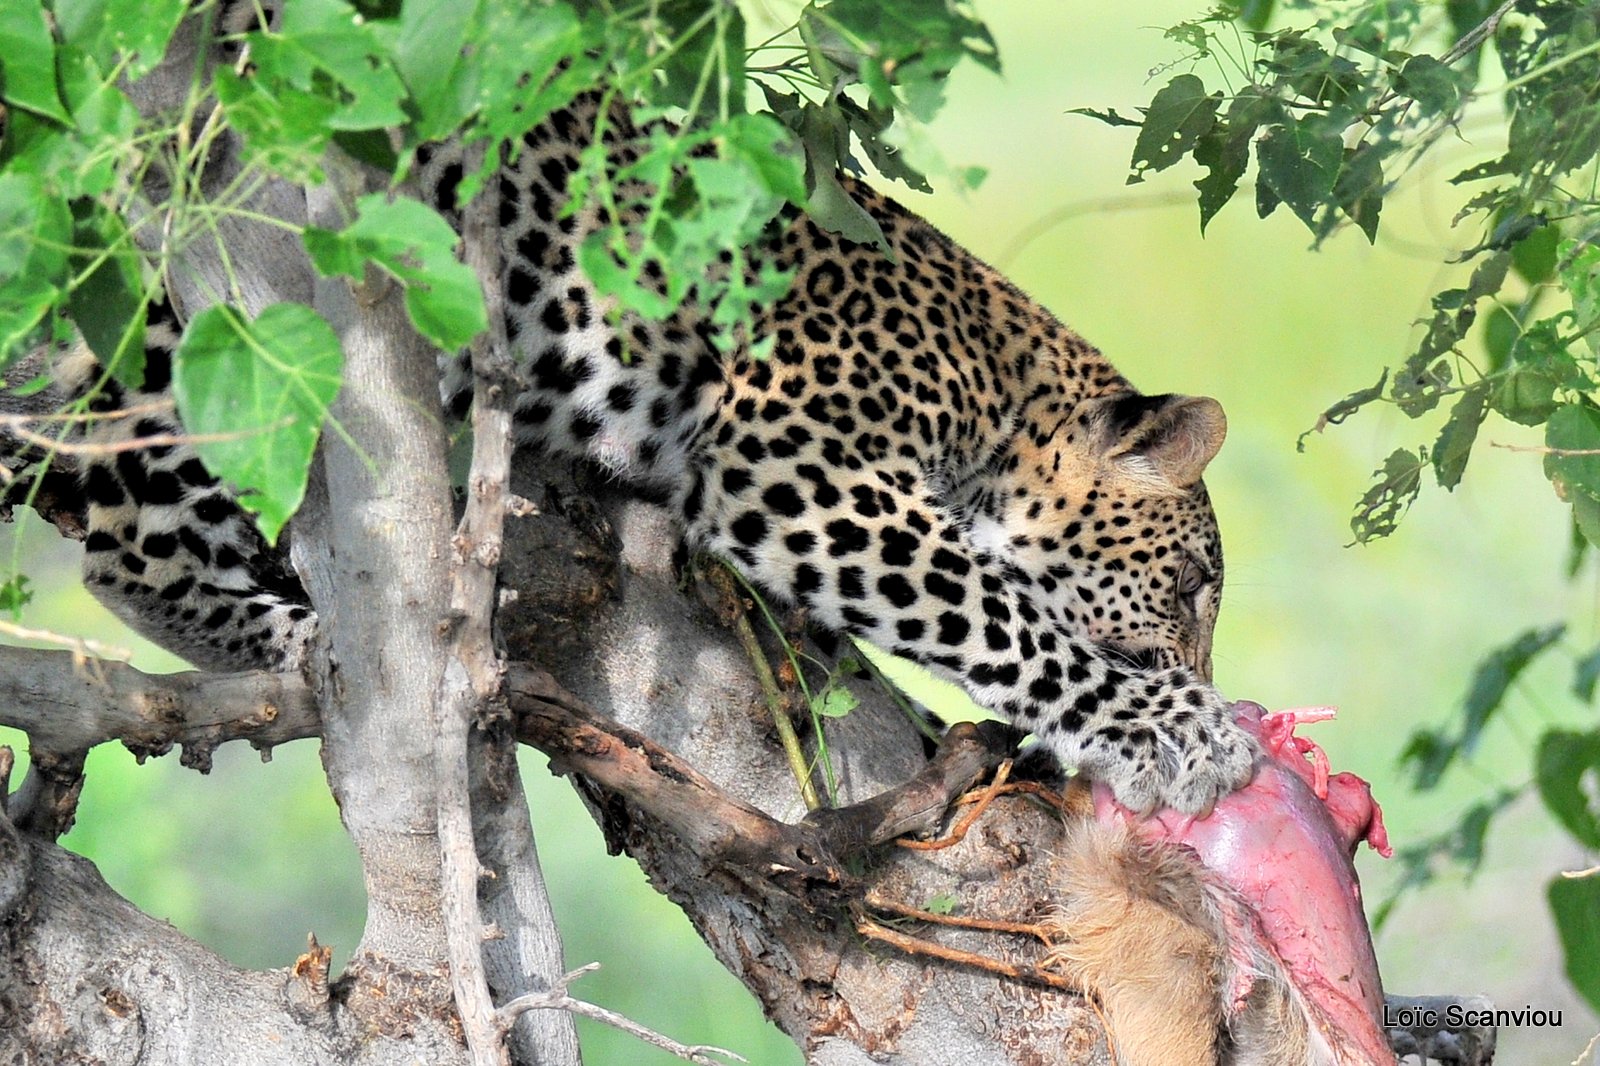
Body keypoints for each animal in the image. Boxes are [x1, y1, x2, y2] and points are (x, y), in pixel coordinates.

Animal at [62, 91, 1254, 813]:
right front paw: (1179, 735)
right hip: (180, 337)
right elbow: (995, 617)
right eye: (1193, 585)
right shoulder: (796, 464)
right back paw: (321, 641)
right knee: (133, 547)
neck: (993, 393)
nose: (1212, 682)